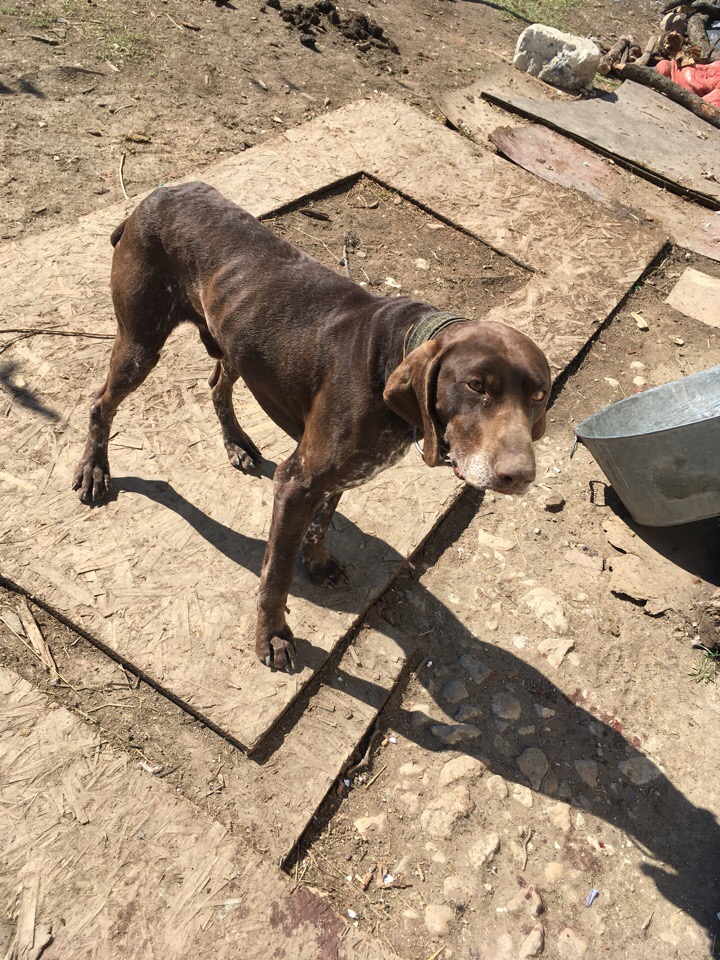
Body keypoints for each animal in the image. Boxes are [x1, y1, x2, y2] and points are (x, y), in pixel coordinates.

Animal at [73, 182, 551, 670]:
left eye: (539, 395)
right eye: (476, 385)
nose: (519, 476)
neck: (391, 352)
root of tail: (153, 196)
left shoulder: (335, 476)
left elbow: (322, 522)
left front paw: (317, 562)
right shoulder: (297, 482)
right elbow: (276, 576)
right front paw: (272, 636)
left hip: (234, 343)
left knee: (217, 385)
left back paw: (236, 442)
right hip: (140, 344)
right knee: (99, 404)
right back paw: (95, 469)